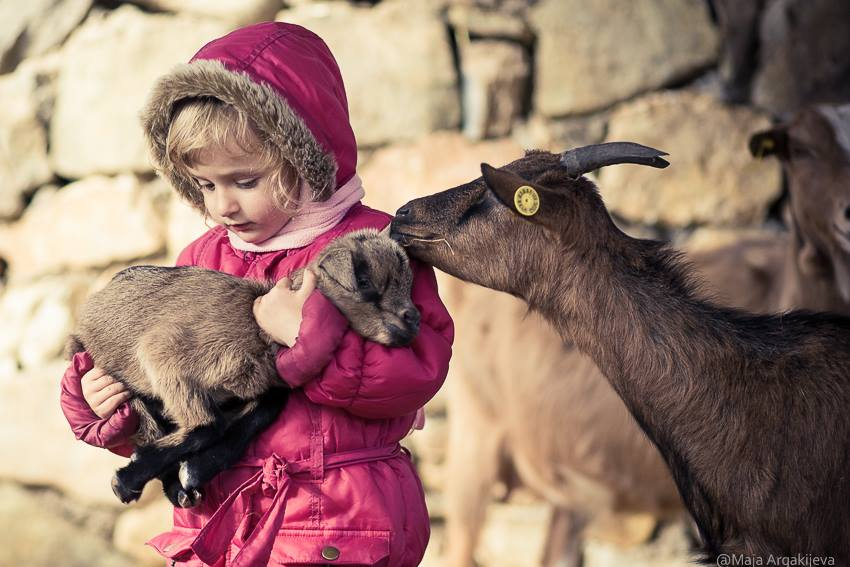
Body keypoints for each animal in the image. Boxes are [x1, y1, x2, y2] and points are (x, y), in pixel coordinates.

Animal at [68, 228, 419, 507]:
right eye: (364, 281)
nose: (413, 320)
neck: (259, 327)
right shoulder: (164, 354)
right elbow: (208, 425)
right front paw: (136, 474)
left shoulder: (258, 387)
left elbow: (259, 414)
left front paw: (196, 469)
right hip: (118, 373)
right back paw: (137, 483)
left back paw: (175, 491)